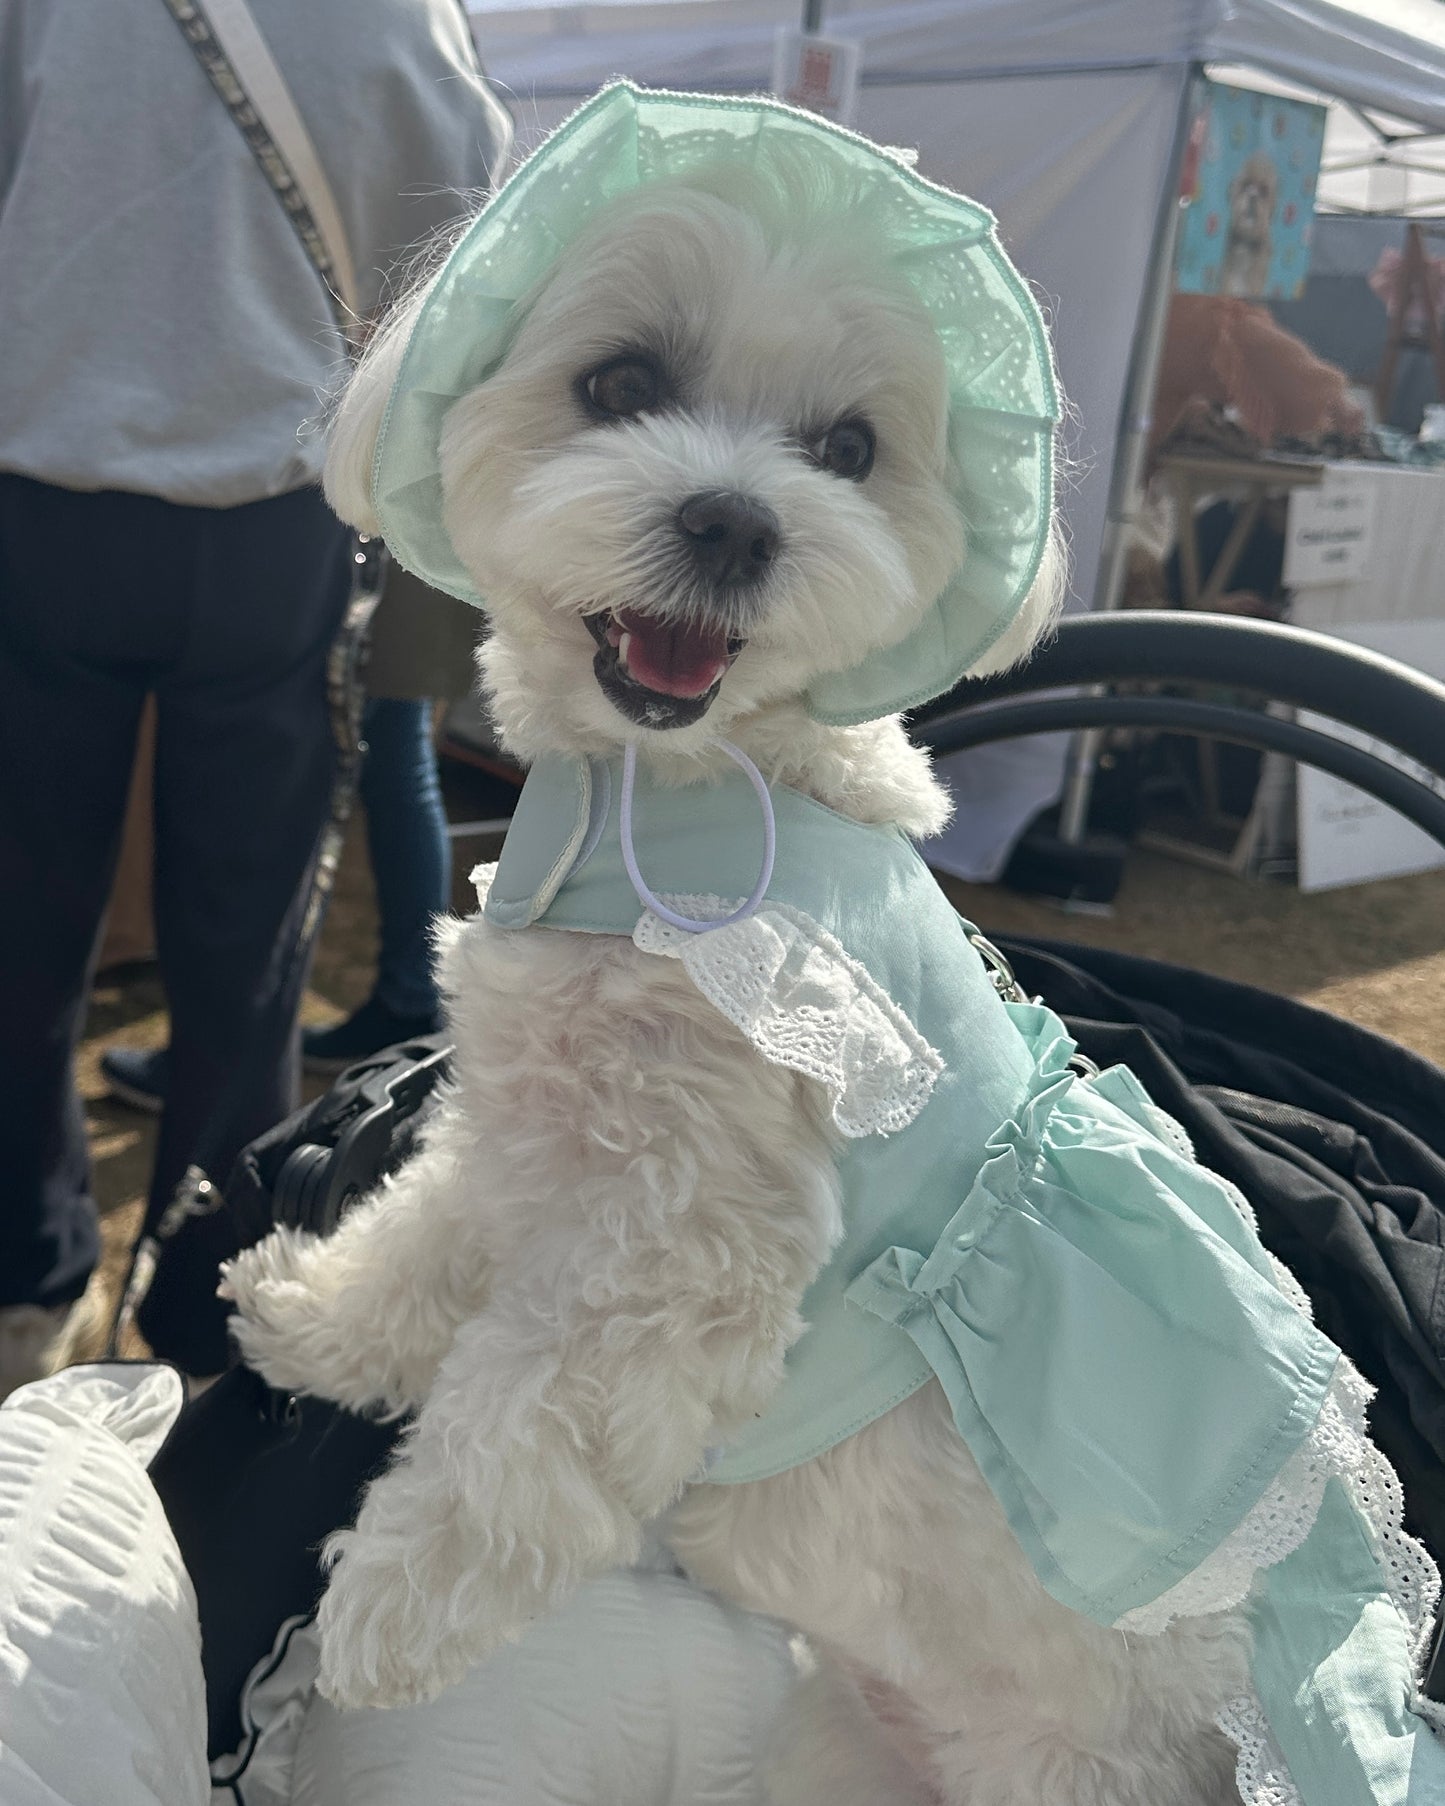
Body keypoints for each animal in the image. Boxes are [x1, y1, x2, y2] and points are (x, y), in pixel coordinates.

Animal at [220, 98, 1249, 1806]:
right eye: (619, 382)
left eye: (850, 450)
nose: (735, 518)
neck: (676, 802)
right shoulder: (523, 1132)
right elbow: (426, 1239)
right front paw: (310, 1311)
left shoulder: (682, 1237)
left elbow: (526, 1409)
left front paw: (396, 1607)